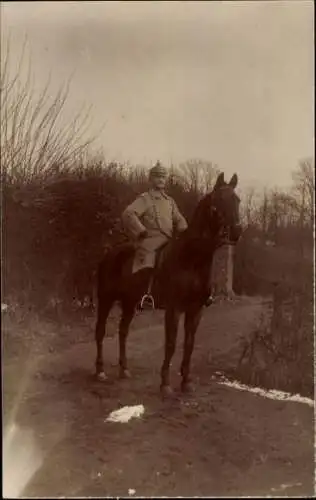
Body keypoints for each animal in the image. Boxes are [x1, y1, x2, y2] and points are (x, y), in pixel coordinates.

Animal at [95, 172, 241, 394]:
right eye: (219, 201)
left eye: (237, 200)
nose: (236, 231)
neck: (191, 260)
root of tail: (109, 253)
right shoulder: (174, 309)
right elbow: (171, 344)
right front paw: (165, 384)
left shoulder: (195, 310)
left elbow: (189, 344)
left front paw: (186, 382)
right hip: (106, 300)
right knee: (101, 331)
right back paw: (100, 371)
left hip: (129, 303)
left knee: (123, 331)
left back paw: (124, 369)